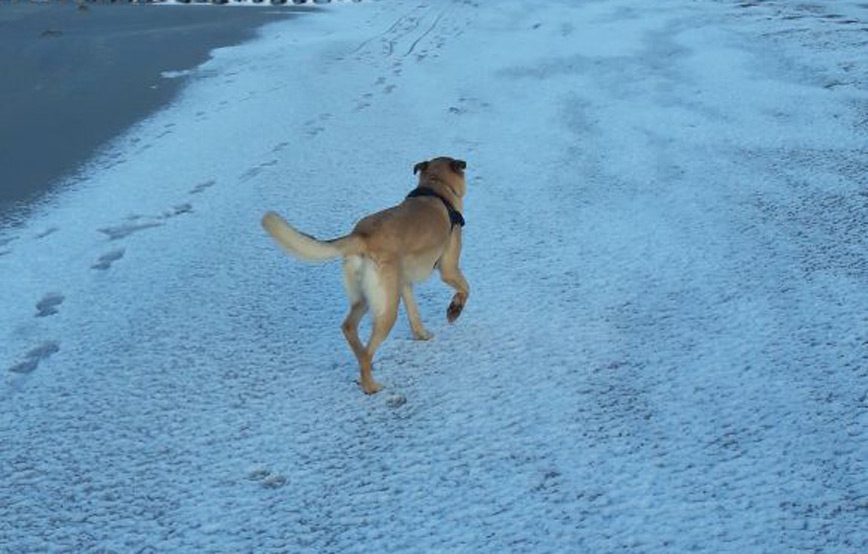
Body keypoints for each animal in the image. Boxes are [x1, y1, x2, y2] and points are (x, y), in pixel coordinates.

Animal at [262, 155, 472, 392]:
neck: (436, 188)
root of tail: (362, 236)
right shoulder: (448, 268)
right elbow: (465, 288)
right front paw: (454, 310)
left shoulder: (403, 284)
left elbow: (414, 314)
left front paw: (422, 335)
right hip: (387, 310)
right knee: (367, 351)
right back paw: (370, 385)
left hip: (368, 297)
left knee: (348, 327)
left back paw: (363, 359)